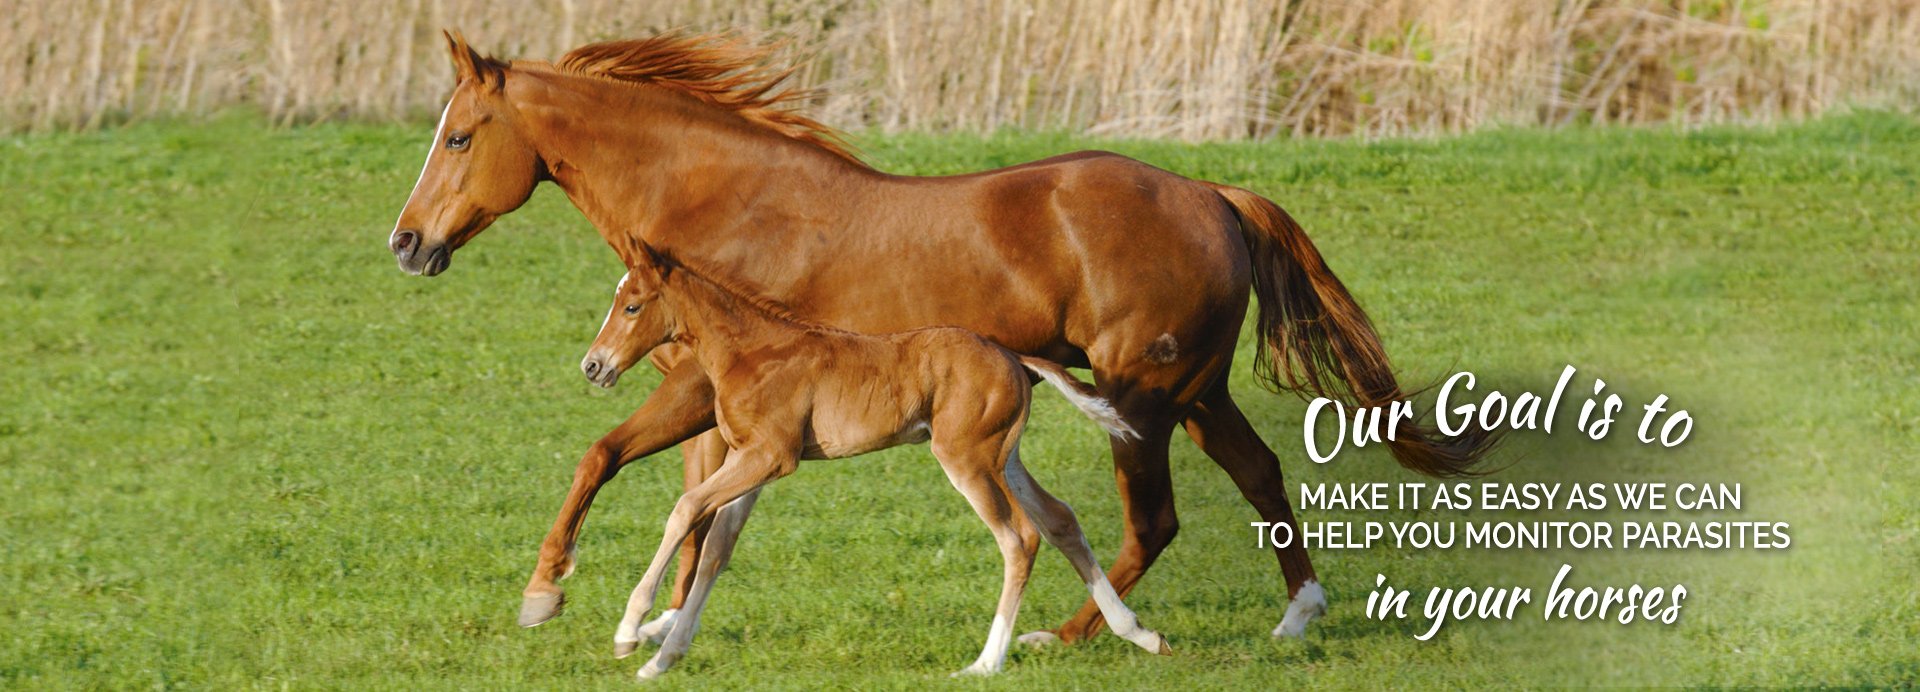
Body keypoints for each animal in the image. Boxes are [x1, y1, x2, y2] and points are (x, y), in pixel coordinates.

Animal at [579, 246, 1167, 676]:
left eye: (632, 306)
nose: (593, 365)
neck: (750, 351)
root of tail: (1012, 356)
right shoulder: (752, 464)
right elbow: (717, 551)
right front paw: (662, 659)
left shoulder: (771, 456)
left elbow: (685, 509)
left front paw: (630, 632)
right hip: (1004, 458)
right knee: (1059, 519)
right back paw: (1140, 634)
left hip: (966, 459)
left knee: (1019, 538)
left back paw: (984, 664)